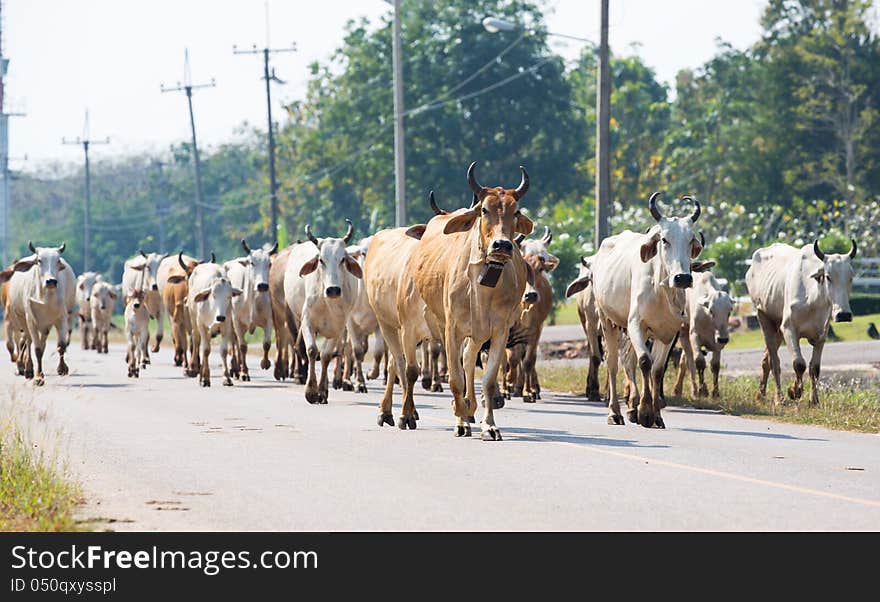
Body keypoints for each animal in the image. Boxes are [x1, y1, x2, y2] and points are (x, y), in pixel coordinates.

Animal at [6, 240, 73, 384]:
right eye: (39, 261)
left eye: (57, 260)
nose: (51, 281)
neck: (46, 297)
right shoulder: (31, 320)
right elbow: (36, 349)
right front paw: (38, 377)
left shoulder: (62, 317)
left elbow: (61, 345)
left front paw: (62, 368)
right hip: (22, 319)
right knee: (28, 341)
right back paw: (28, 369)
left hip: (45, 325)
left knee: (41, 343)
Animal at [223, 238, 276, 380]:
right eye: (252, 263)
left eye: (269, 264)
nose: (262, 285)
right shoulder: (236, 321)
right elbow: (242, 346)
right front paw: (244, 372)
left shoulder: (269, 319)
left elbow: (267, 343)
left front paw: (265, 363)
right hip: (230, 322)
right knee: (234, 342)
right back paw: (235, 368)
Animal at [286, 220, 360, 404]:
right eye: (321, 260)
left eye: (342, 259)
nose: (333, 290)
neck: (327, 302)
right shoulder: (307, 321)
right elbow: (312, 350)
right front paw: (311, 391)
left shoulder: (338, 328)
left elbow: (326, 356)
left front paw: (321, 391)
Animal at [592, 193, 708, 426]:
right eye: (664, 239)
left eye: (690, 239)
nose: (682, 278)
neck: (662, 292)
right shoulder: (635, 324)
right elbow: (645, 362)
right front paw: (645, 412)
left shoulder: (669, 333)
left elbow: (657, 370)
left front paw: (655, 416)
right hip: (608, 320)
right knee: (613, 364)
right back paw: (615, 412)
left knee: (629, 360)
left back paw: (630, 408)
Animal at [744, 238, 856, 404]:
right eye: (828, 276)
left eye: (850, 278)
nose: (844, 315)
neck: (812, 300)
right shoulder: (788, 329)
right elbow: (799, 364)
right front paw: (794, 391)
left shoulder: (822, 335)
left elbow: (815, 368)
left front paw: (814, 401)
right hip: (763, 318)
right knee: (774, 362)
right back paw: (779, 398)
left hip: (777, 327)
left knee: (766, 360)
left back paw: (761, 396)